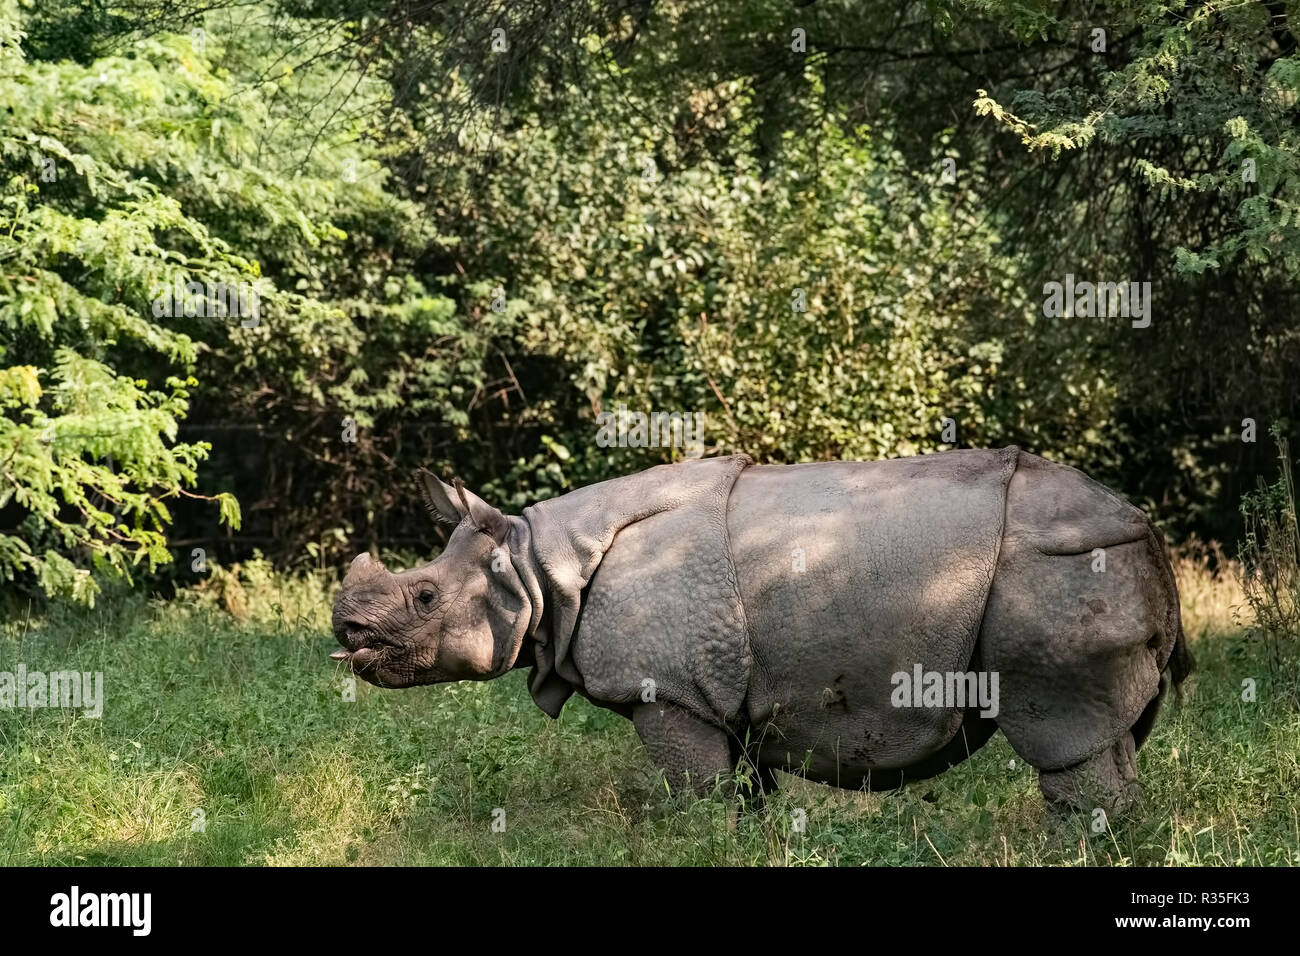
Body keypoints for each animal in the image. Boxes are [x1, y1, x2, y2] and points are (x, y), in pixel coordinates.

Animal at [331, 447, 1191, 812]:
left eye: (424, 597)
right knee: (1111, 740)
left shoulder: (669, 695)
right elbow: (746, 798)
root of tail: (1145, 527)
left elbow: (699, 796)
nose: (345, 629)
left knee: (1065, 739)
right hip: (1088, 563)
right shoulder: (726, 700)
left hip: (1059, 569)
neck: (539, 569)